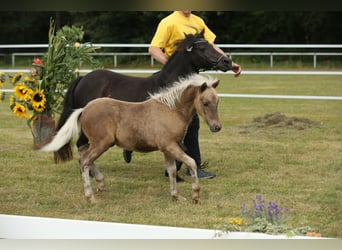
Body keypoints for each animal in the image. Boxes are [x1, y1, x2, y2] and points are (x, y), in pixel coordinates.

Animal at [41, 74, 222, 203]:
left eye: (217, 102)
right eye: (205, 103)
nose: (217, 127)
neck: (171, 110)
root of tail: (84, 109)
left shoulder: (168, 149)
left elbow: (171, 170)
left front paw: (176, 196)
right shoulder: (170, 146)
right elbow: (191, 162)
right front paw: (195, 196)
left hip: (96, 143)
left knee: (83, 157)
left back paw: (100, 183)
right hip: (102, 143)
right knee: (85, 161)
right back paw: (90, 197)